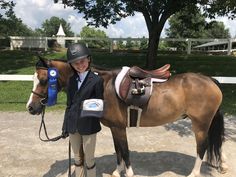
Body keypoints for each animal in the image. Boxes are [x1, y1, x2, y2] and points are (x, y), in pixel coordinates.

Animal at [26, 57, 228, 176]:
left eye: (44, 80)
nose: (31, 108)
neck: (103, 85)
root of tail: (210, 80)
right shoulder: (115, 128)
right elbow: (118, 151)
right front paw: (117, 172)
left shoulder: (119, 128)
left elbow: (125, 151)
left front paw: (128, 173)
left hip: (200, 124)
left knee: (202, 147)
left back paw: (194, 173)